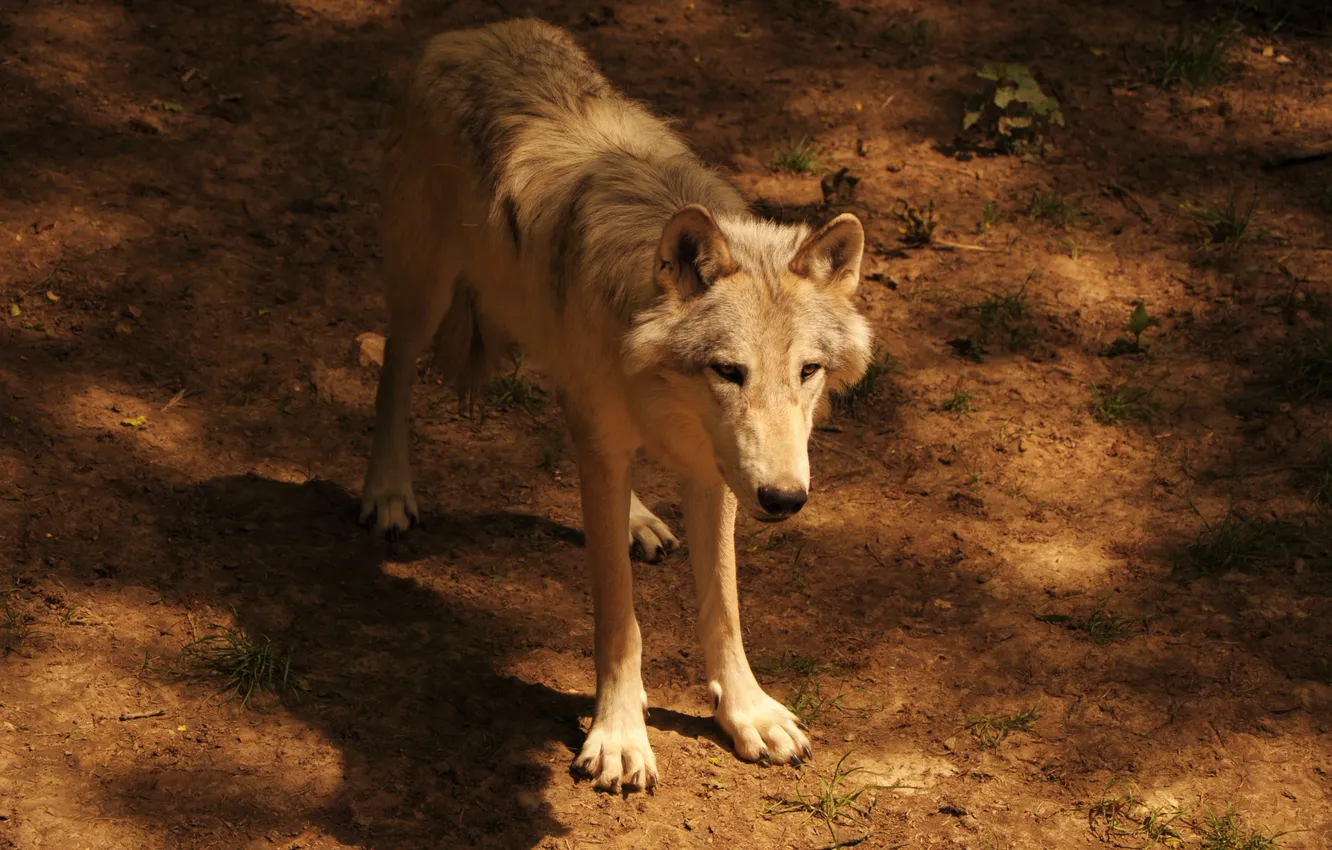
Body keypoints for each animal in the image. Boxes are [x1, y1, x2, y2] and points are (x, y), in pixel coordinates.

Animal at [361, 18, 873, 792]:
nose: (785, 500)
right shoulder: (630, 451)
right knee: (394, 364)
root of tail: (471, 30)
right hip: (428, 288)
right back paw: (388, 491)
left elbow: (724, 606)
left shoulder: (711, 468)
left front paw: (748, 714)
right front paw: (620, 737)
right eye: (729, 371)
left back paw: (638, 521)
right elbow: (620, 618)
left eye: (807, 371)